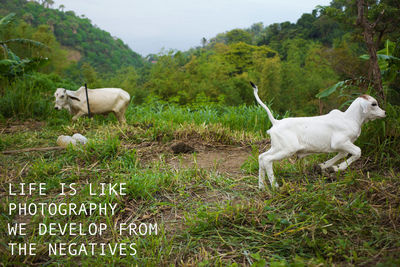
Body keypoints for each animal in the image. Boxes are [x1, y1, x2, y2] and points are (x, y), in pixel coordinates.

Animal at [252, 82, 386, 189]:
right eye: (374, 104)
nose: (384, 113)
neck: (349, 119)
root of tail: (276, 122)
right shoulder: (339, 142)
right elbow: (357, 152)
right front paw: (338, 167)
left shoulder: (342, 145)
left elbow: (343, 154)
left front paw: (326, 166)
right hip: (287, 149)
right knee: (267, 160)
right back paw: (275, 186)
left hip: (277, 147)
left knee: (261, 157)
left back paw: (261, 186)